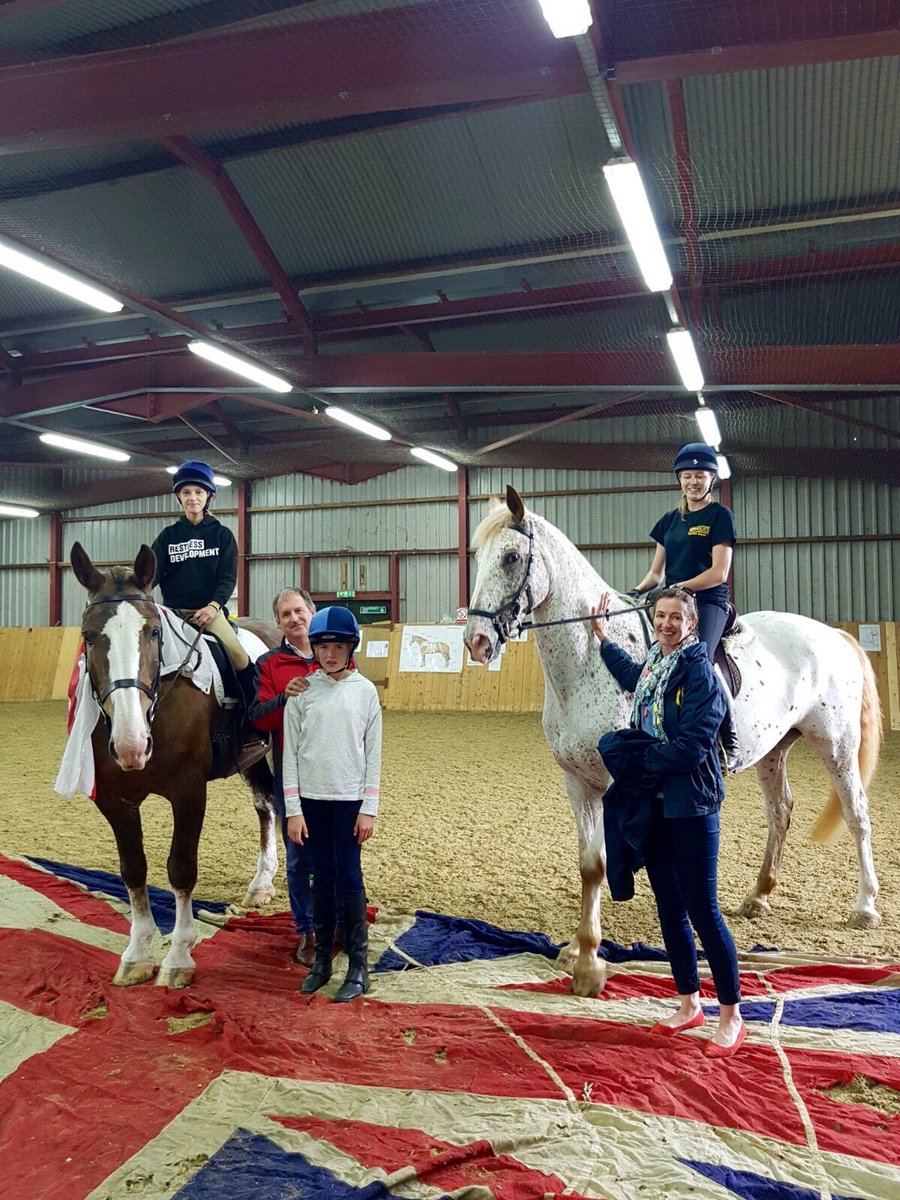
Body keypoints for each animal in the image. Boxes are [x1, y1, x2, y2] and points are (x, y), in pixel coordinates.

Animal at [70, 544, 282, 984]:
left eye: (153, 632)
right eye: (88, 636)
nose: (131, 745)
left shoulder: (188, 791)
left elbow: (181, 868)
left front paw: (179, 957)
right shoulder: (114, 799)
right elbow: (133, 869)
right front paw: (136, 954)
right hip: (252, 759)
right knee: (266, 806)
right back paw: (261, 884)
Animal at [468, 482, 883, 998]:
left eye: (509, 557)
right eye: (478, 556)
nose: (476, 642)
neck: (590, 660)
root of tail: (834, 635)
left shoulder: (620, 782)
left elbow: (617, 860)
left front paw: (590, 962)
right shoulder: (577, 782)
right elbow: (590, 865)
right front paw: (579, 953)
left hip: (836, 745)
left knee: (856, 813)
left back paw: (864, 907)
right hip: (774, 749)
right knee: (780, 811)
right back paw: (758, 896)